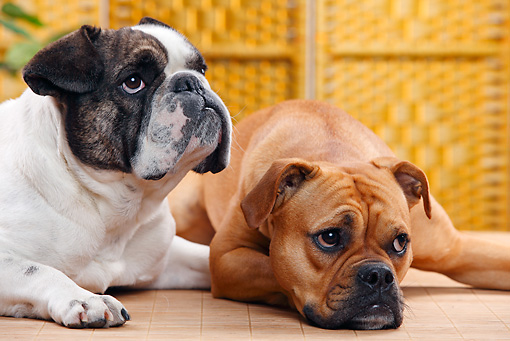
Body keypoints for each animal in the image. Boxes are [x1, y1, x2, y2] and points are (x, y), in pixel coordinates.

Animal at [0, 17, 231, 328]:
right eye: (133, 82)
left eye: (201, 69)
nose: (190, 81)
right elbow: (37, 270)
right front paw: (86, 299)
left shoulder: (164, 255)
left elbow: (211, 257)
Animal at [168, 100, 510, 330]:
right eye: (330, 238)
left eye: (401, 242)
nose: (380, 276)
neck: (334, 151)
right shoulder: (226, 257)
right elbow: (272, 268)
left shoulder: (457, 249)